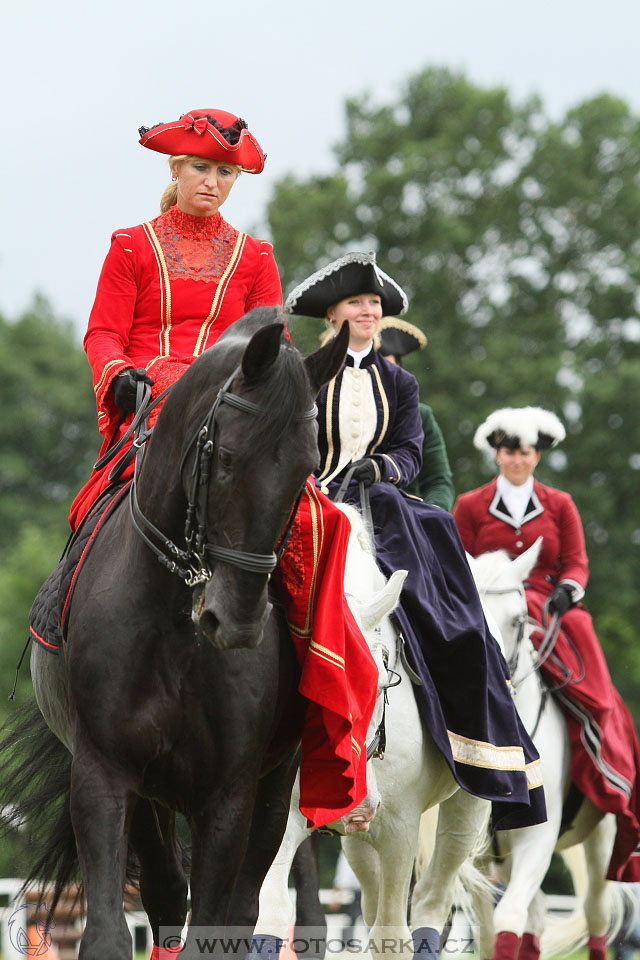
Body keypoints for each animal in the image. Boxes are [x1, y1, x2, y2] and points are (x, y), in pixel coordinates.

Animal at [7, 310, 348, 960]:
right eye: (229, 457)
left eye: (306, 468)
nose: (236, 622)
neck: (174, 624)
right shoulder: (106, 773)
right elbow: (114, 930)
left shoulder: (229, 796)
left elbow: (214, 921)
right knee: (166, 893)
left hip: (275, 784)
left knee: (244, 905)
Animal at [255, 506, 490, 956]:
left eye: (380, 684)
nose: (355, 804)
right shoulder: (283, 817)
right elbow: (269, 912)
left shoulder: (399, 828)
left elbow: (391, 936)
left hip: (465, 810)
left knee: (431, 900)